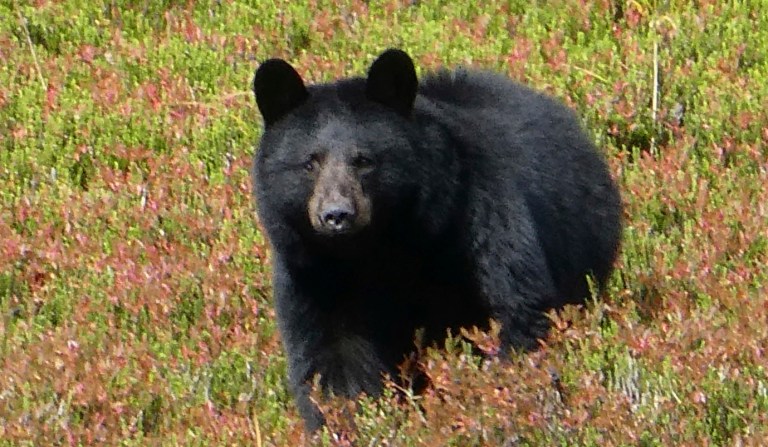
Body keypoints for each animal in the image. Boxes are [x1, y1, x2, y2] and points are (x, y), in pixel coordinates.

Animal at [251, 48, 622, 431]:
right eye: (309, 163)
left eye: (364, 160)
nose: (337, 215)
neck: (380, 250)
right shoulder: (313, 276)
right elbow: (334, 353)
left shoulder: (478, 218)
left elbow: (515, 309)